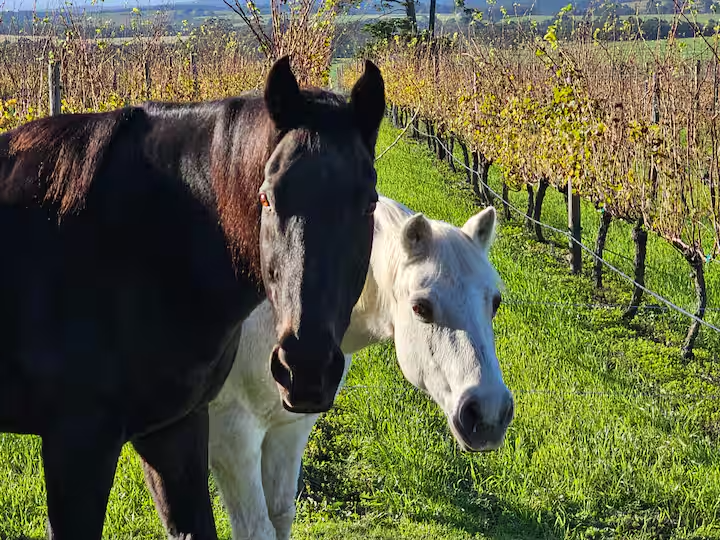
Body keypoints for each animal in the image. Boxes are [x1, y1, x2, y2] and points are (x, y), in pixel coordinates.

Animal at [199, 196, 515, 540]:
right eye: (420, 307)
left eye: (495, 302)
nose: (488, 413)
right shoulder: (234, 439)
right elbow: (257, 529)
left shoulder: (289, 428)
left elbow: (280, 515)